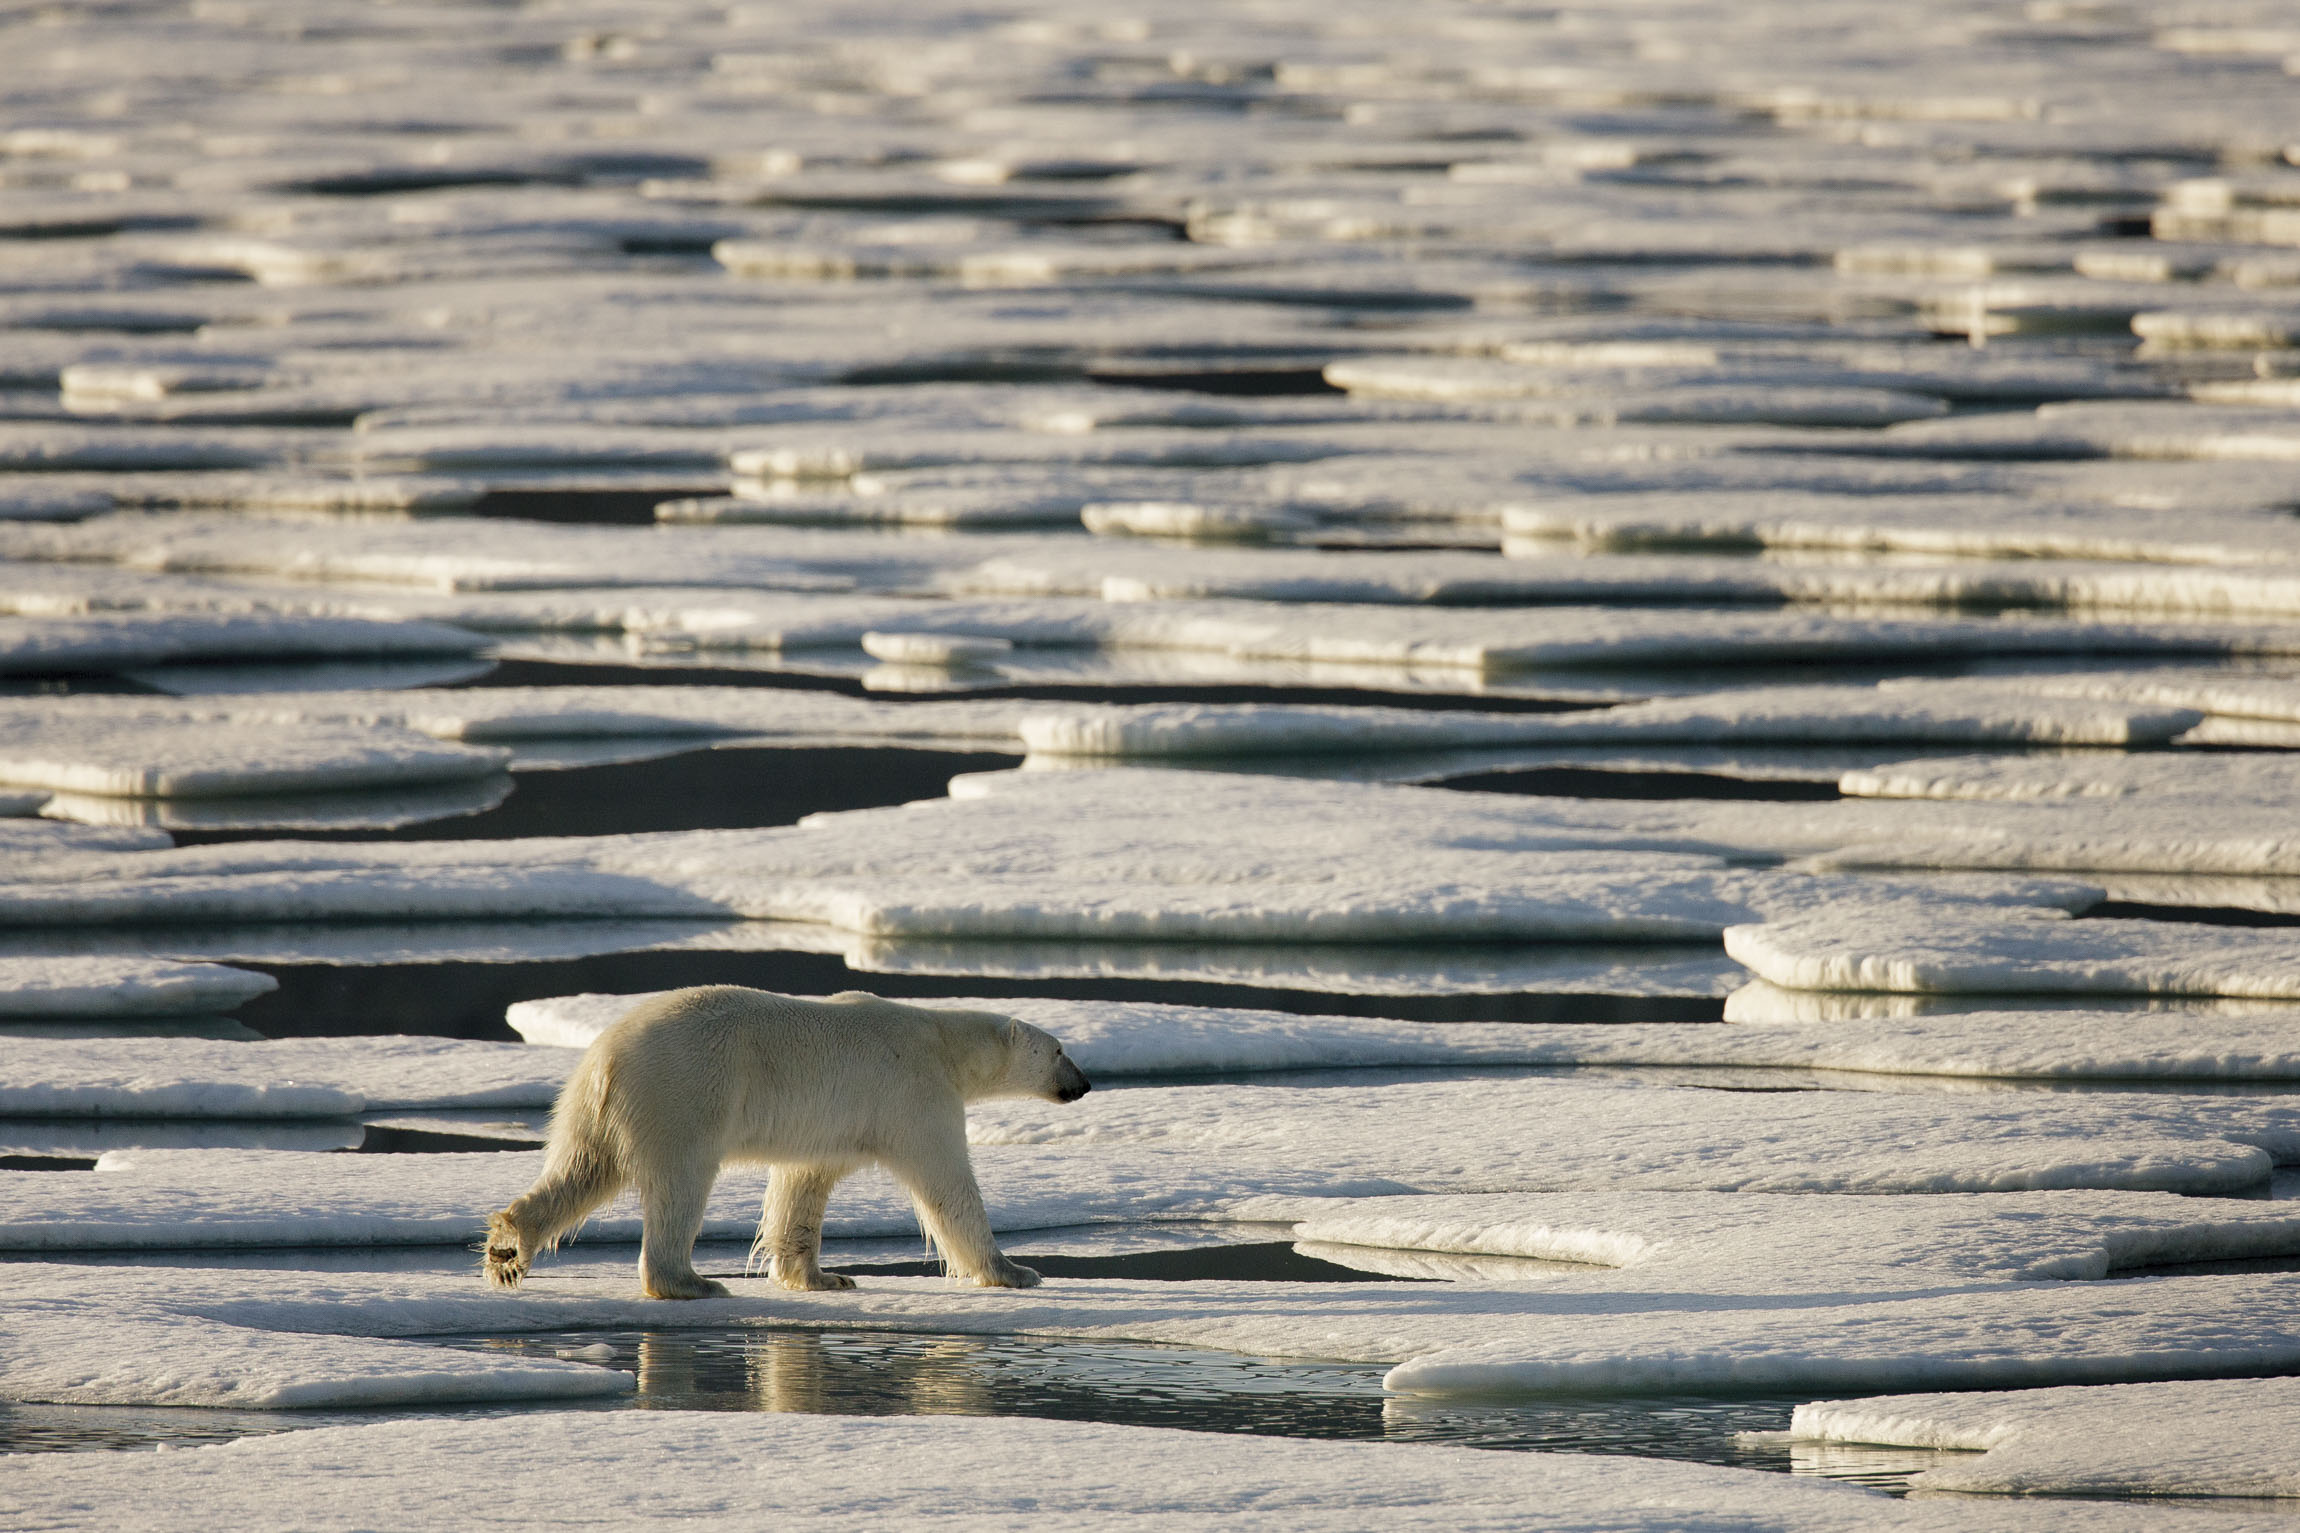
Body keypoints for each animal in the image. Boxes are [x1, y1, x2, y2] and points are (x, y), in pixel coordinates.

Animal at [480, 988, 1090, 1305]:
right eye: (1060, 1049)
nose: (1084, 1084)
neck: (940, 1041)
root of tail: (606, 1055)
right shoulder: (915, 1095)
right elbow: (948, 1186)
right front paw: (1014, 1270)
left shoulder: (829, 1128)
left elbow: (803, 1186)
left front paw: (824, 1277)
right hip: (683, 1093)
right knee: (680, 1184)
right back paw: (692, 1282)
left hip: (593, 1107)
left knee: (581, 1171)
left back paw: (508, 1248)